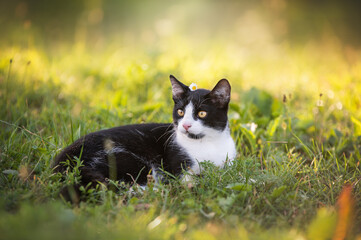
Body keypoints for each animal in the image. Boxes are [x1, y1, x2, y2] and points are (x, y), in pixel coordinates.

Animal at [51, 76, 236, 196]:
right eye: (181, 112)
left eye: (202, 113)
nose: (185, 125)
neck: (208, 142)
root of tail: (64, 159)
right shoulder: (177, 164)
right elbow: (186, 179)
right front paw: (194, 184)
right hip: (123, 159)